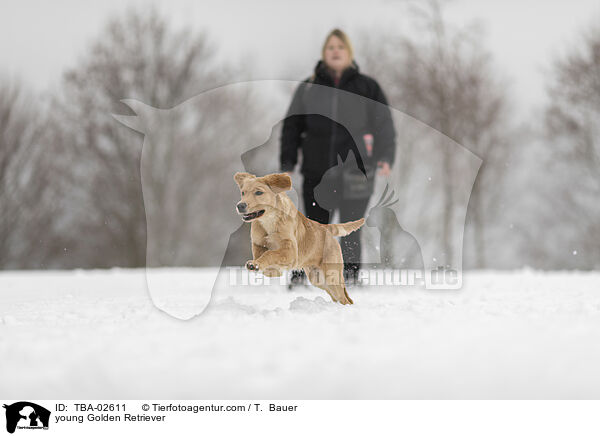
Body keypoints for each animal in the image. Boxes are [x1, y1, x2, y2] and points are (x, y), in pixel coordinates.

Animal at [234, 172, 366, 304]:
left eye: (258, 192)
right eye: (243, 193)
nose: (240, 206)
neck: (269, 221)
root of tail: (326, 228)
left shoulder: (291, 251)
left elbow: (270, 254)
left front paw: (259, 265)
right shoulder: (258, 243)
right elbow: (260, 254)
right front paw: (263, 267)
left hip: (331, 275)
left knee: (344, 297)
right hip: (317, 278)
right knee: (338, 296)